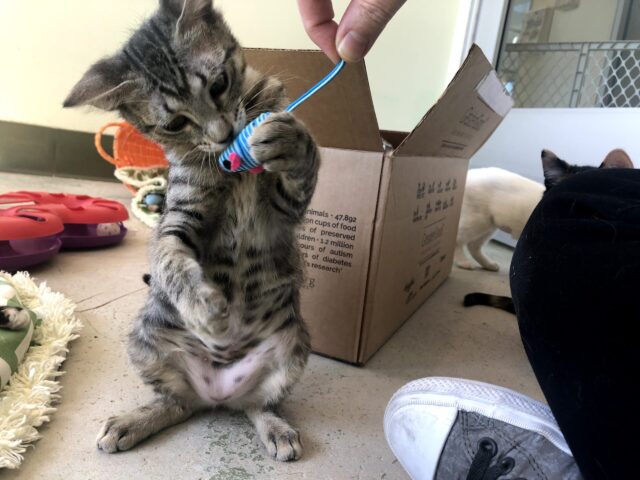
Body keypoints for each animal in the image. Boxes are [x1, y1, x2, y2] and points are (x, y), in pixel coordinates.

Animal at [65, 0, 320, 462]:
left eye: (219, 84)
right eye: (174, 124)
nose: (224, 135)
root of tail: (216, 395)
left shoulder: (283, 210)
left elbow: (304, 161)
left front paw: (290, 139)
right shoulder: (180, 216)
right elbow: (169, 257)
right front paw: (204, 308)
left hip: (293, 346)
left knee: (258, 404)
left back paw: (276, 428)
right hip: (144, 340)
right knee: (176, 402)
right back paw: (132, 421)